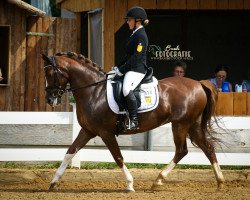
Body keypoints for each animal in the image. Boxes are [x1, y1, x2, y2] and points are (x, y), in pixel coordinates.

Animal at [41, 52, 225, 192]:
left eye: (50, 74)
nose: (50, 99)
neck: (93, 91)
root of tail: (199, 84)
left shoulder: (105, 133)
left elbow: (118, 157)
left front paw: (130, 184)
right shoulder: (87, 131)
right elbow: (70, 152)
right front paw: (53, 182)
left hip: (180, 124)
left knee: (182, 151)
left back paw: (158, 180)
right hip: (192, 125)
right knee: (208, 148)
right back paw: (220, 182)